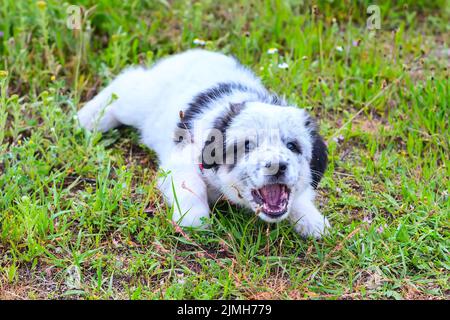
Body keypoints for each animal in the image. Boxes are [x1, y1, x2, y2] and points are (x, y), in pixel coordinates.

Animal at [77, 49, 330, 238]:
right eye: (247, 146)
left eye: (292, 146)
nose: (276, 166)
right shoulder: (181, 158)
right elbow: (191, 185)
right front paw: (193, 219)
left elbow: (301, 195)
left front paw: (312, 220)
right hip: (138, 102)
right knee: (126, 82)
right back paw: (88, 118)